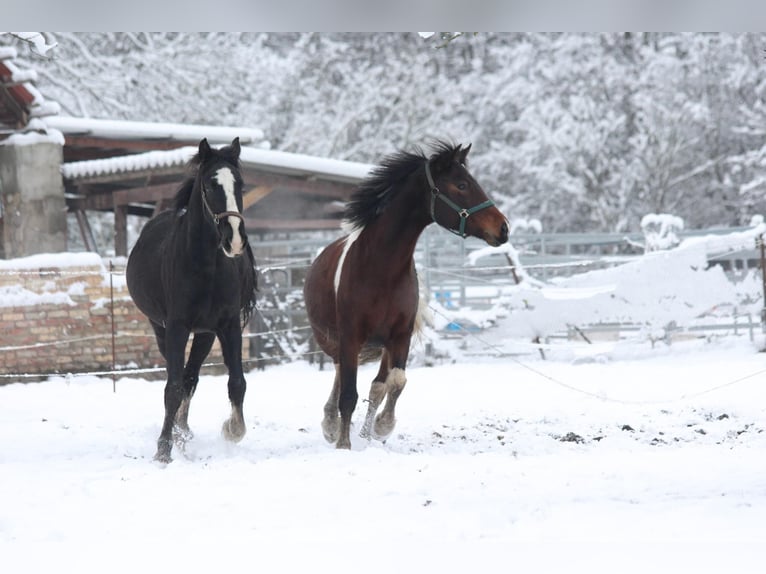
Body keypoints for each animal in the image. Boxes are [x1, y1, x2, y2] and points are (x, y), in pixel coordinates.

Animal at [125, 138, 258, 464]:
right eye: (210, 185)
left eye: (240, 184)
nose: (235, 239)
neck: (206, 266)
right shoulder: (176, 327)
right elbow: (172, 387)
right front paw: (163, 448)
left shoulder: (227, 326)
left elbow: (237, 382)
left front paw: (232, 430)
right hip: (162, 329)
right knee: (180, 378)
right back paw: (177, 434)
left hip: (205, 334)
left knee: (191, 378)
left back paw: (183, 432)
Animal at [304, 143, 510, 450]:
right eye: (462, 185)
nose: (503, 228)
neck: (382, 269)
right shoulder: (350, 336)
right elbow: (349, 394)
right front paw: (343, 443)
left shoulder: (400, 336)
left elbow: (396, 382)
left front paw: (381, 428)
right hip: (331, 340)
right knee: (341, 373)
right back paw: (331, 425)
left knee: (376, 384)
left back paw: (364, 432)